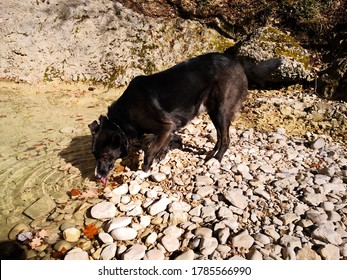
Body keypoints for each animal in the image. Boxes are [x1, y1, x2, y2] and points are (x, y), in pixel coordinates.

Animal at [88, 52, 282, 179]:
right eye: (94, 155)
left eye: (104, 156)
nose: (96, 176)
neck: (123, 119)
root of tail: (237, 61)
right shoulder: (169, 130)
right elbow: (161, 146)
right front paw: (159, 158)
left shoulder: (167, 126)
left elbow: (150, 150)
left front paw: (144, 170)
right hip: (213, 111)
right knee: (220, 136)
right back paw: (211, 154)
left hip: (222, 110)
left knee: (226, 139)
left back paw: (216, 160)